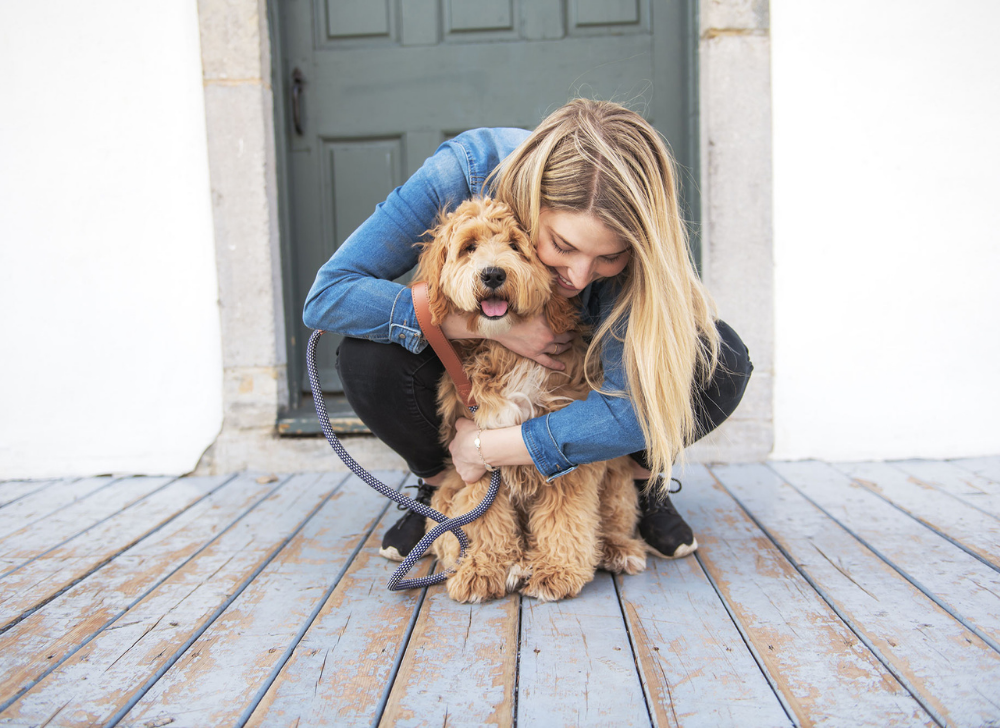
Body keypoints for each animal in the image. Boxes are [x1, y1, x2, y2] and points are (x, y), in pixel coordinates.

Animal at [414, 195, 648, 604]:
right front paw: (484, 568)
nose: (492, 275)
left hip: (616, 483)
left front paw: (557, 570)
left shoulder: (565, 452)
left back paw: (618, 549)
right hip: (446, 494)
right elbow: (483, 516)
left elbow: (565, 517)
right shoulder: (476, 452)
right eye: (469, 247)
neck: (507, 351)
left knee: (611, 522)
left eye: (514, 246)